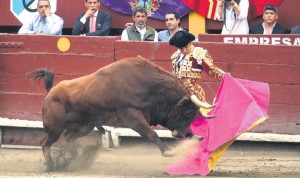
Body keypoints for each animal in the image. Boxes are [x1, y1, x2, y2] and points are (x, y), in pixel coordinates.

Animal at [29, 57, 214, 171]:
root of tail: (51, 91)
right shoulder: (132, 116)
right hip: (54, 128)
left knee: (68, 139)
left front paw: (196, 137)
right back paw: (50, 165)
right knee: (45, 142)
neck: (148, 86)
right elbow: (152, 133)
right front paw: (168, 151)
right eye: (188, 112)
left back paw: (72, 159)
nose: (181, 134)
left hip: (83, 127)